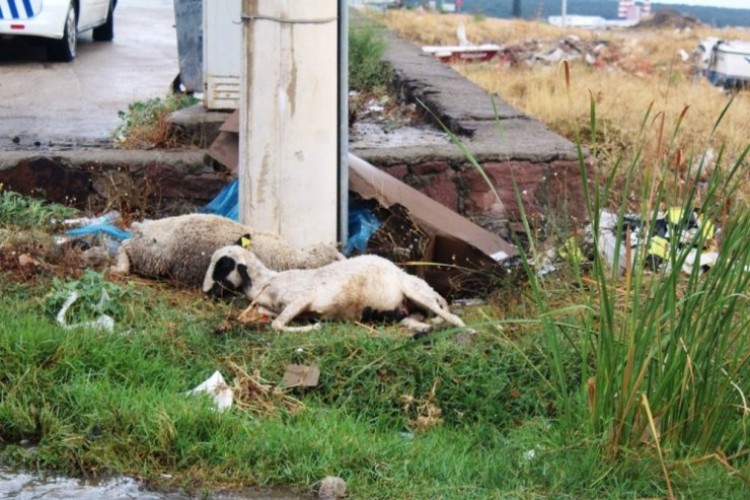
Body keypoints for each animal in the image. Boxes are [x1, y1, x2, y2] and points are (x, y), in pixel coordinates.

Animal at [111, 214, 344, 288]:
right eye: (334, 259)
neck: (293, 257)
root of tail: (140, 227)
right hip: (152, 258)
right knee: (125, 247)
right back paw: (120, 268)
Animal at [203, 245, 468, 334]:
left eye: (223, 264)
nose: (206, 292)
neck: (267, 282)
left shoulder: (301, 298)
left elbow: (277, 325)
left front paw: (313, 327)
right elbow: (271, 319)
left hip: (416, 293)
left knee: (454, 318)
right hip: (405, 311)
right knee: (416, 321)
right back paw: (423, 329)